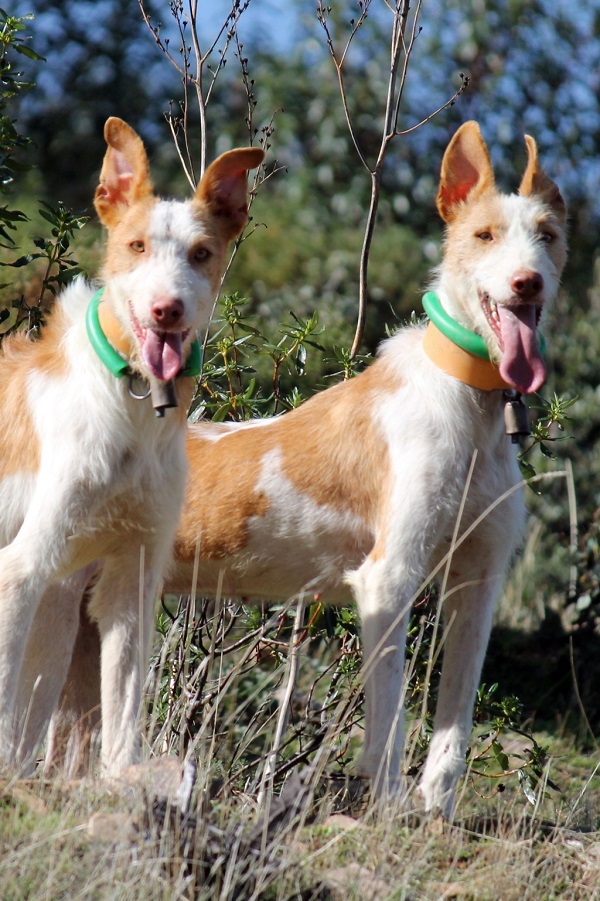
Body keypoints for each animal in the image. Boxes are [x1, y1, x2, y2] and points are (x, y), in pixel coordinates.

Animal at [0, 116, 262, 776]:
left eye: (201, 254)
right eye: (137, 247)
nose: (167, 309)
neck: (132, 406)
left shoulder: (127, 587)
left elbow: (121, 719)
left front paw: (122, 783)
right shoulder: (20, 572)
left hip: (62, 606)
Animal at [49, 119, 564, 816]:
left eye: (548, 236)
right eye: (484, 236)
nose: (527, 282)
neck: (472, 404)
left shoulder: (477, 586)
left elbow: (452, 732)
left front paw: (433, 816)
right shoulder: (387, 582)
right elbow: (389, 728)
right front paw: (385, 815)